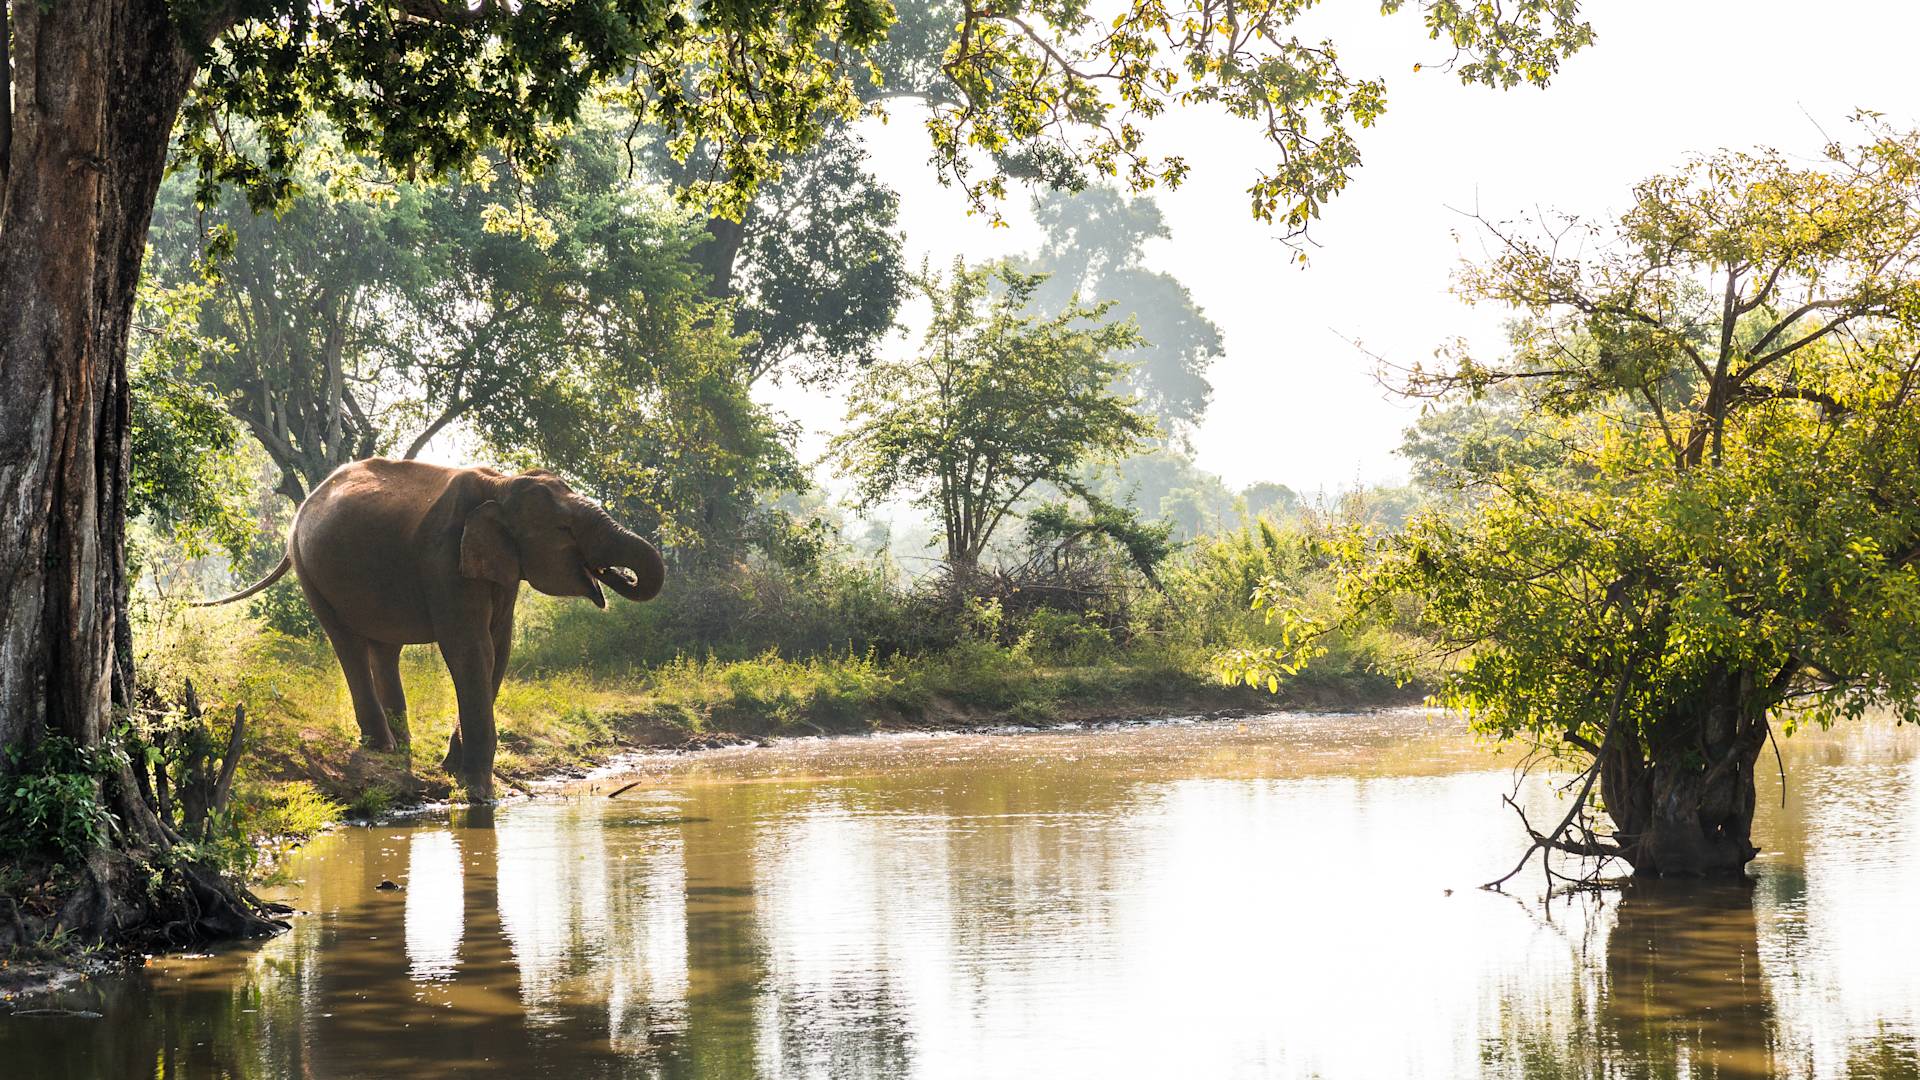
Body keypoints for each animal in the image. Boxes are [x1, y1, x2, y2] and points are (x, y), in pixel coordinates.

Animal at [198, 458, 665, 800]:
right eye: (564, 529)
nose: (613, 575)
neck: (500, 484)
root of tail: (300, 510)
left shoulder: (498, 568)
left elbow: (499, 649)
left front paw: (454, 770)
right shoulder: (443, 558)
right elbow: (471, 649)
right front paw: (479, 793)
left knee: (384, 649)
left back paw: (400, 748)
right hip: (309, 570)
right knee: (348, 644)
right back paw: (382, 747)